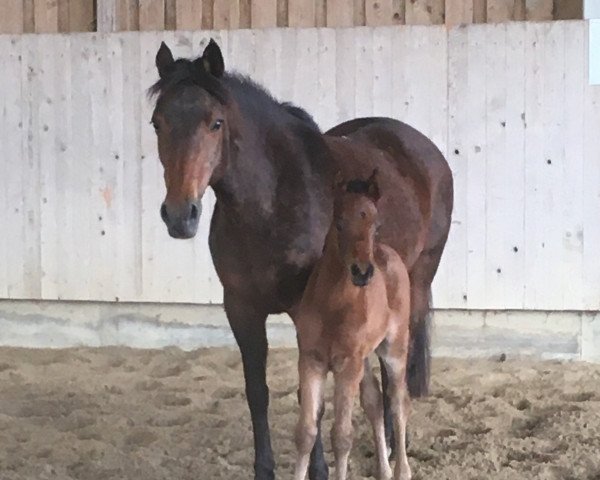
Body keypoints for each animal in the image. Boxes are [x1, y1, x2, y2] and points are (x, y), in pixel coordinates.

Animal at [292, 172, 412, 480]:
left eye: (376, 225)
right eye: (339, 222)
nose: (362, 272)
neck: (333, 305)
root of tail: (388, 253)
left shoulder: (347, 366)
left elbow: (342, 436)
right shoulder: (311, 360)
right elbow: (306, 433)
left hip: (393, 349)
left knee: (398, 402)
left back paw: (401, 471)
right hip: (365, 357)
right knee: (375, 401)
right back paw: (384, 470)